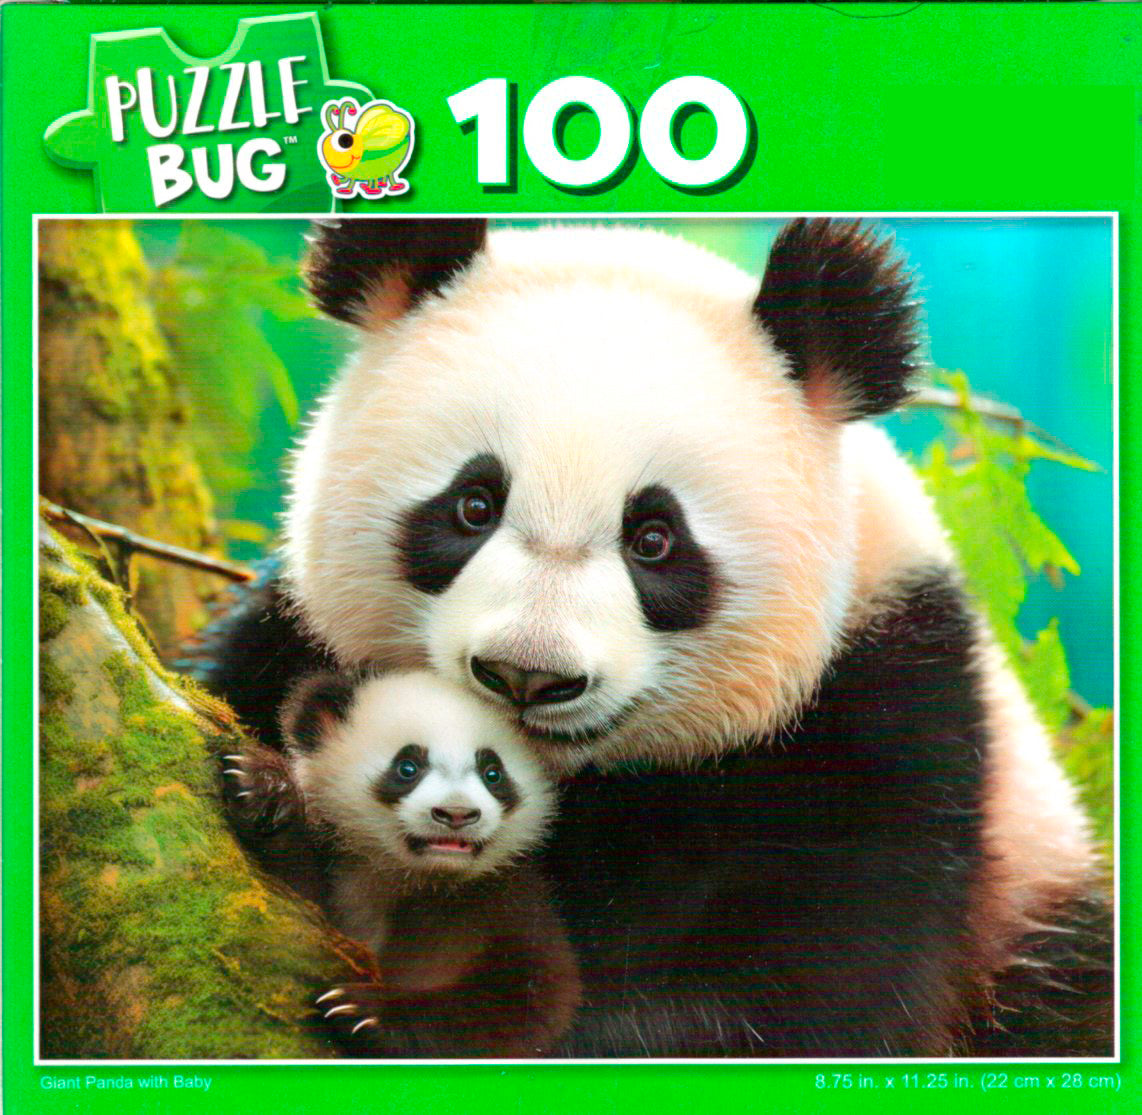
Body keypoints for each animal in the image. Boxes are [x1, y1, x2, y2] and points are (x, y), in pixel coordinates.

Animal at [222, 669, 576, 1058]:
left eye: (493, 773)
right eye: (408, 767)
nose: (456, 813)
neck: (413, 876)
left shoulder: (505, 900)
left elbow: (528, 1002)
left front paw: (368, 1014)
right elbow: (290, 916)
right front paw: (266, 790)